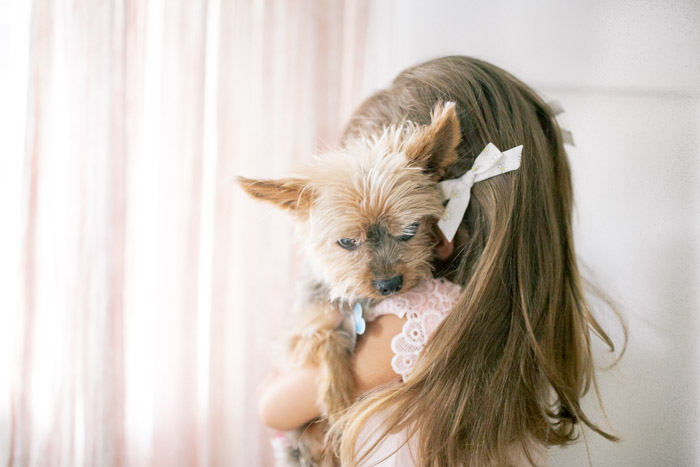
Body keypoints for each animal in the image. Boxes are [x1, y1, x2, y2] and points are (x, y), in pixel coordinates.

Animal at [238, 101, 462, 464]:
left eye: (410, 230)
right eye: (346, 242)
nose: (390, 285)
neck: (361, 302)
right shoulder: (294, 341)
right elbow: (326, 334)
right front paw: (336, 392)